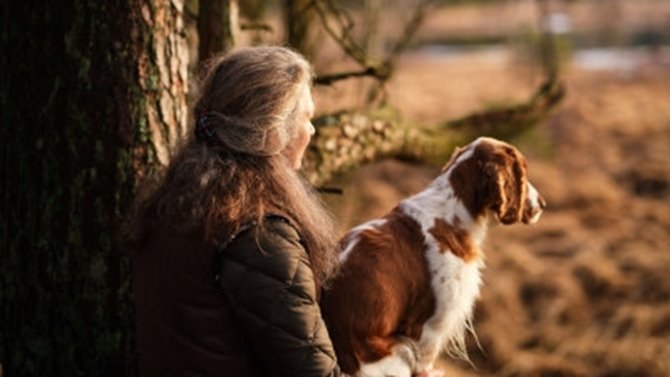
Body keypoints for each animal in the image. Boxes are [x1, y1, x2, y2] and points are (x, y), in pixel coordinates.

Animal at [320, 137, 544, 376]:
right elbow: (426, 361)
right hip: (397, 355)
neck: (450, 215)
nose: (543, 203)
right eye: (523, 171)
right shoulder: (431, 324)